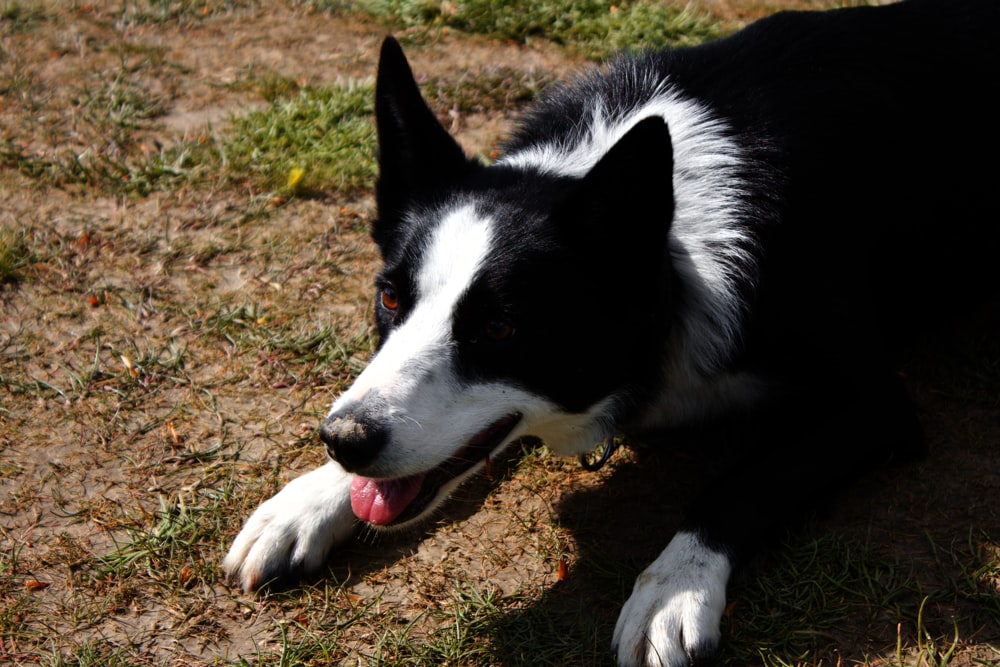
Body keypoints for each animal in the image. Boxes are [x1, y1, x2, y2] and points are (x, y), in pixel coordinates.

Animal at [225, 2, 1000, 664]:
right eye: (389, 297)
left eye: (500, 325)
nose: (344, 441)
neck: (673, 249)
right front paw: (311, 497)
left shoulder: (875, 404)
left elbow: (743, 479)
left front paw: (675, 585)